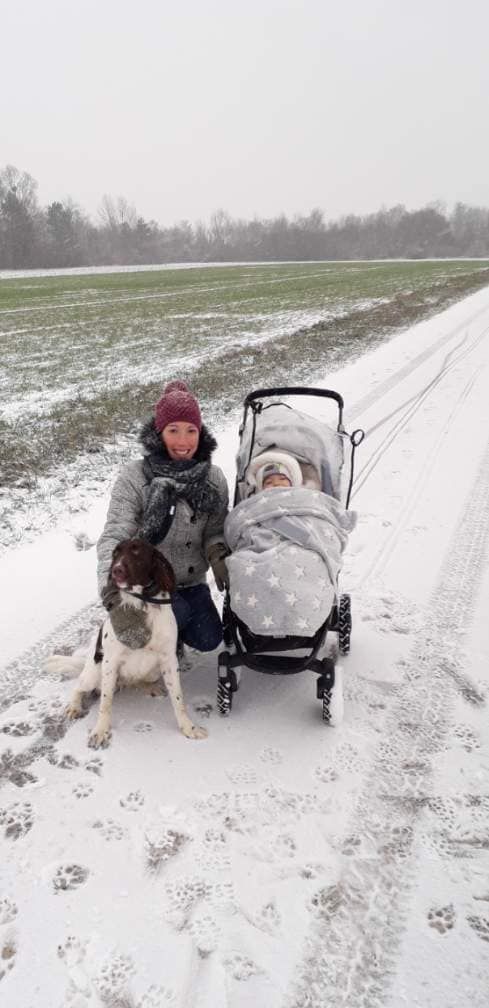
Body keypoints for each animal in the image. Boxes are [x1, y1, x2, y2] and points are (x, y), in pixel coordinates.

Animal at [45, 544, 205, 749]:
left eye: (137, 552)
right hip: (94, 672)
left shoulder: (169, 660)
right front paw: (100, 731)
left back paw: (151, 687)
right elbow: (105, 703)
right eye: (115, 553)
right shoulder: (110, 662)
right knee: (78, 687)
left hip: (153, 670)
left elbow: (178, 699)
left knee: (138, 680)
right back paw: (74, 707)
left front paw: (189, 728)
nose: (116, 570)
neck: (140, 603)